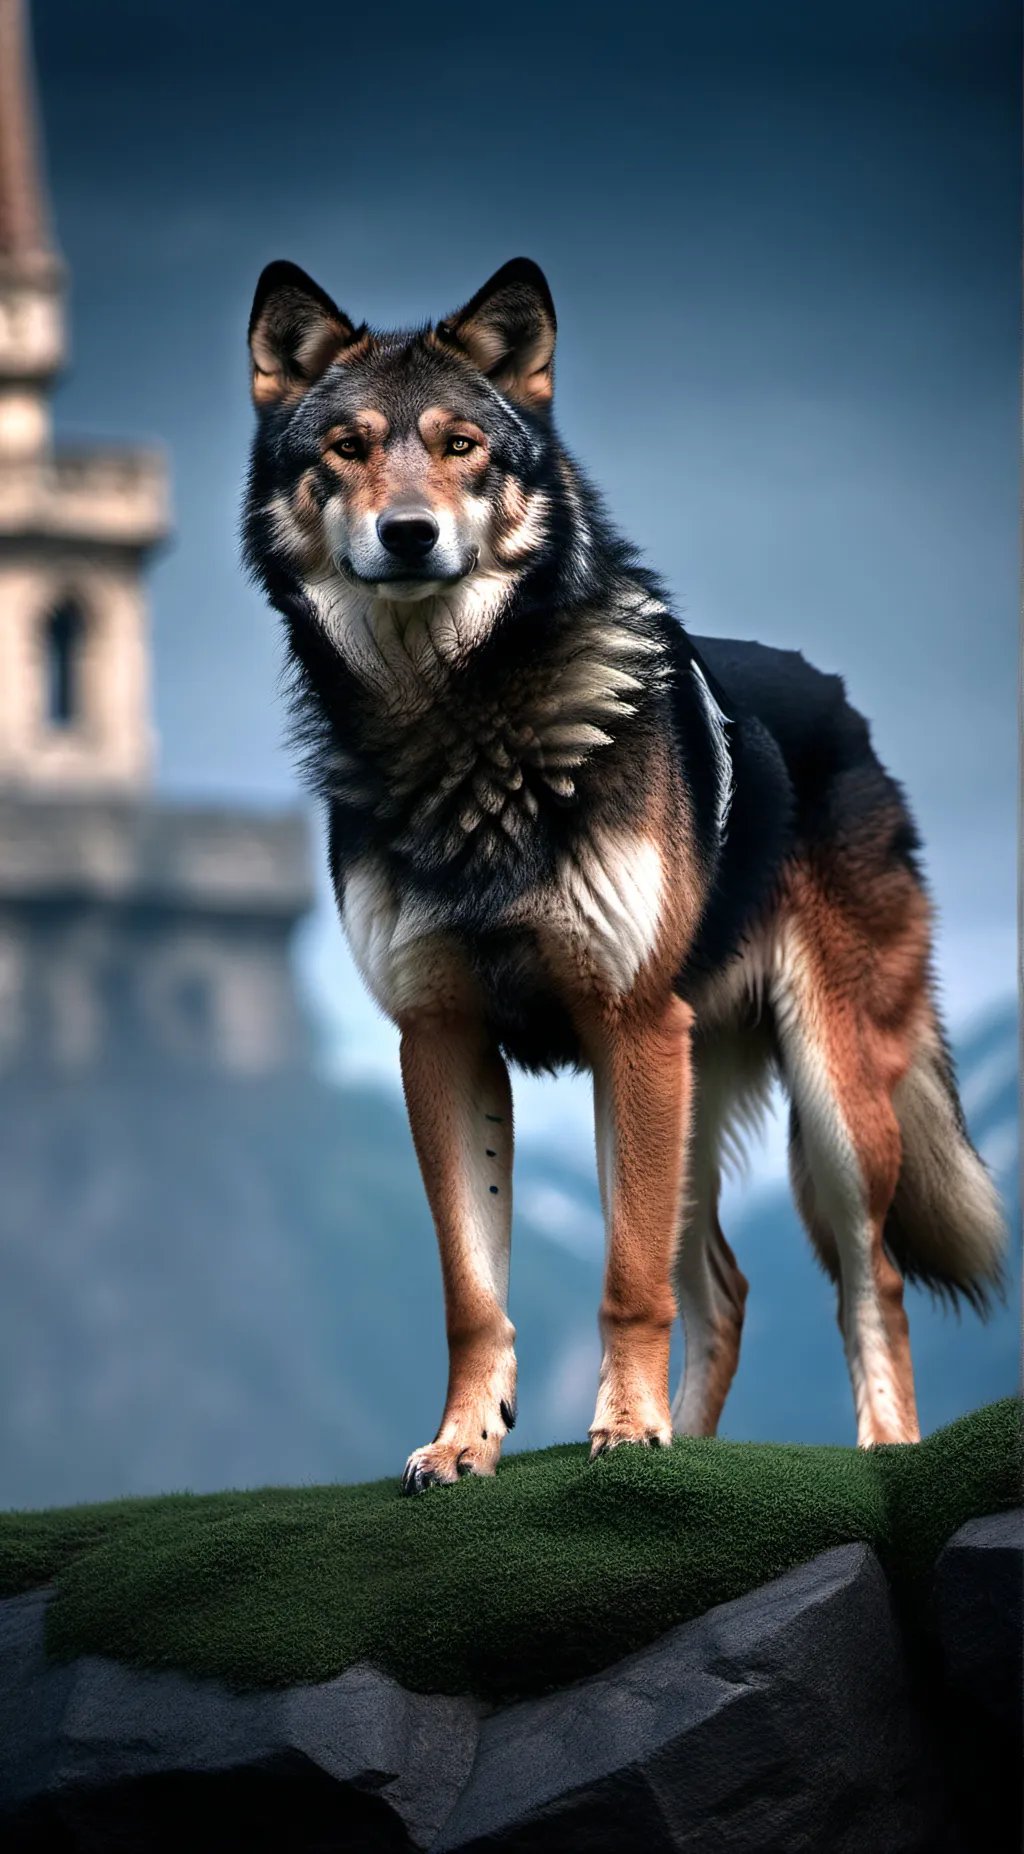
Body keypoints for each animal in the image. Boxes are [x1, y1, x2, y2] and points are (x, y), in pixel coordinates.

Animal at [243, 256, 1005, 1491]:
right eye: (348, 448)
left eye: (461, 446)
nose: (408, 535)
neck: (456, 725)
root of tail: (843, 705)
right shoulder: (441, 1040)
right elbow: (474, 1292)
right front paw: (467, 1444)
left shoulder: (626, 1022)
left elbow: (627, 1283)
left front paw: (628, 1431)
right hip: (682, 1086)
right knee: (727, 1286)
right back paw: (685, 1446)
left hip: (821, 1093)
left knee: (868, 1278)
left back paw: (868, 1448)